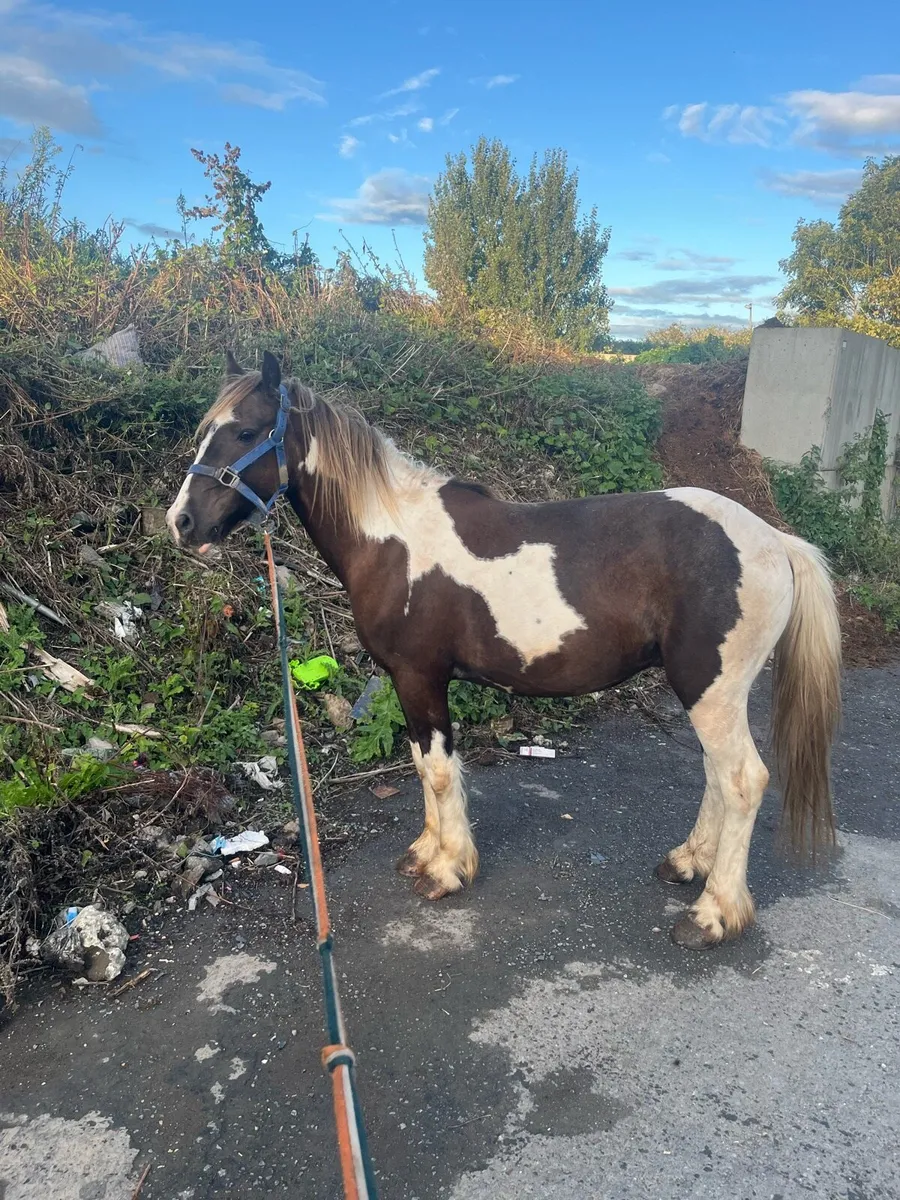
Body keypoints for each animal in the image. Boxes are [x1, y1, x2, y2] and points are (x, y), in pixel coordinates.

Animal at [166, 351, 842, 951]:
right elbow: (421, 765)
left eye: (246, 431)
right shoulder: (410, 684)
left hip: (711, 689)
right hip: (707, 692)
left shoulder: (420, 676)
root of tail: (774, 539)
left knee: (743, 781)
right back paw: (687, 863)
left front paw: (447, 870)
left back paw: (712, 915)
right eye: (206, 433)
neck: (393, 540)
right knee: (715, 776)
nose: (181, 523)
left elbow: (440, 771)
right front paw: (426, 851)